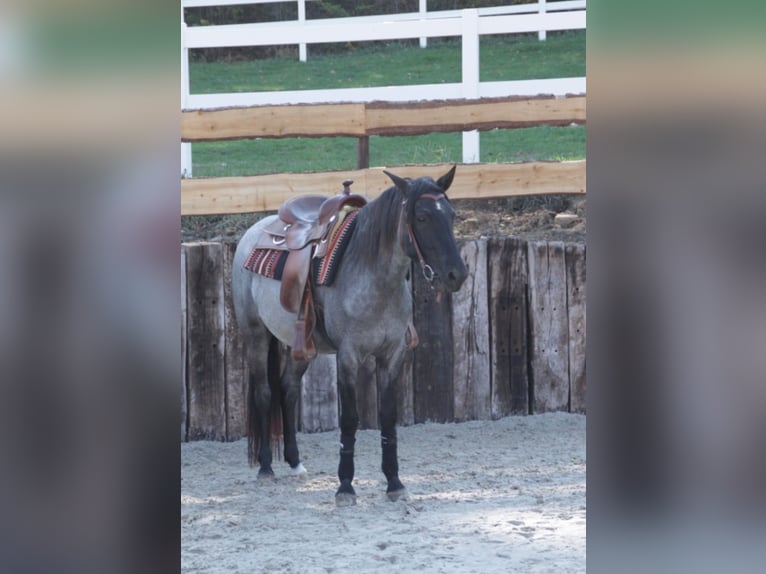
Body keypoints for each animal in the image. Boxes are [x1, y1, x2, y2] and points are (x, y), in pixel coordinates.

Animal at [231, 166, 468, 506]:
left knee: (288, 389)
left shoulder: (392, 356)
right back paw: (265, 467)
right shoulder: (349, 356)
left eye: (450, 214)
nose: (456, 275)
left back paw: (294, 462)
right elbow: (350, 419)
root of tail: (254, 232)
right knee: (264, 393)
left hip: (301, 346)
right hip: (256, 334)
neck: (374, 277)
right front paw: (345, 486)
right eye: (422, 217)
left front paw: (394, 483)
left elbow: (388, 416)